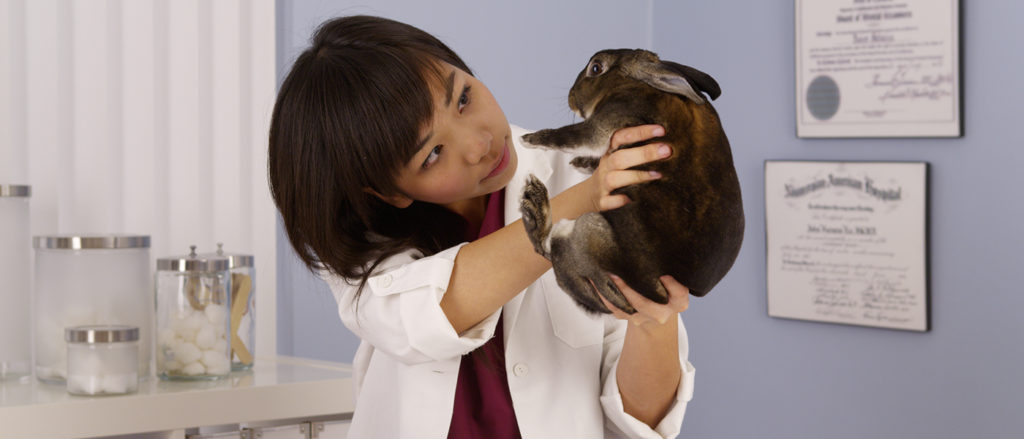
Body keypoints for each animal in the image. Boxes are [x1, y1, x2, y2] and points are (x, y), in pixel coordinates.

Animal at [519, 49, 744, 314]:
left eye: (596, 68)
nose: (571, 97)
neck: (634, 82)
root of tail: (656, 295)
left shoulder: (612, 115)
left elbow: (570, 136)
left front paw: (528, 139)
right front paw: (582, 163)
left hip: (585, 231)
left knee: (545, 248)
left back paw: (534, 208)